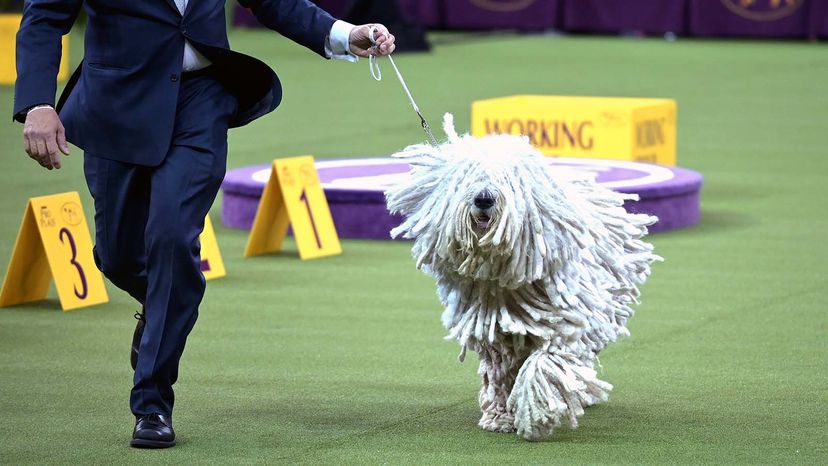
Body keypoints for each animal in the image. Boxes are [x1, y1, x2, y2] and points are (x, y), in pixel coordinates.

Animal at [384, 114, 664, 440]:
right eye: (468, 176)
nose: (483, 199)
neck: (500, 274)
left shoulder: (563, 323)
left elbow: (547, 363)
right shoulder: (494, 331)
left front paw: (537, 413)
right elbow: (500, 372)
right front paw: (501, 417)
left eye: (507, 178)